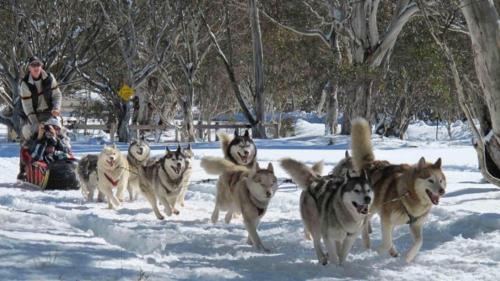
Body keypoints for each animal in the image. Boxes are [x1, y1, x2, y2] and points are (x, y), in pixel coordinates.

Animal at [350, 117, 448, 262]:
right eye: (430, 180)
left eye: (441, 180)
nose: (442, 191)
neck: (410, 195)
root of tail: (371, 164)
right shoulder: (386, 219)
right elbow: (387, 242)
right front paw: (380, 250)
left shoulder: (415, 224)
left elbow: (419, 241)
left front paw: (408, 257)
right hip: (371, 207)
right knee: (365, 224)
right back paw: (368, 243)